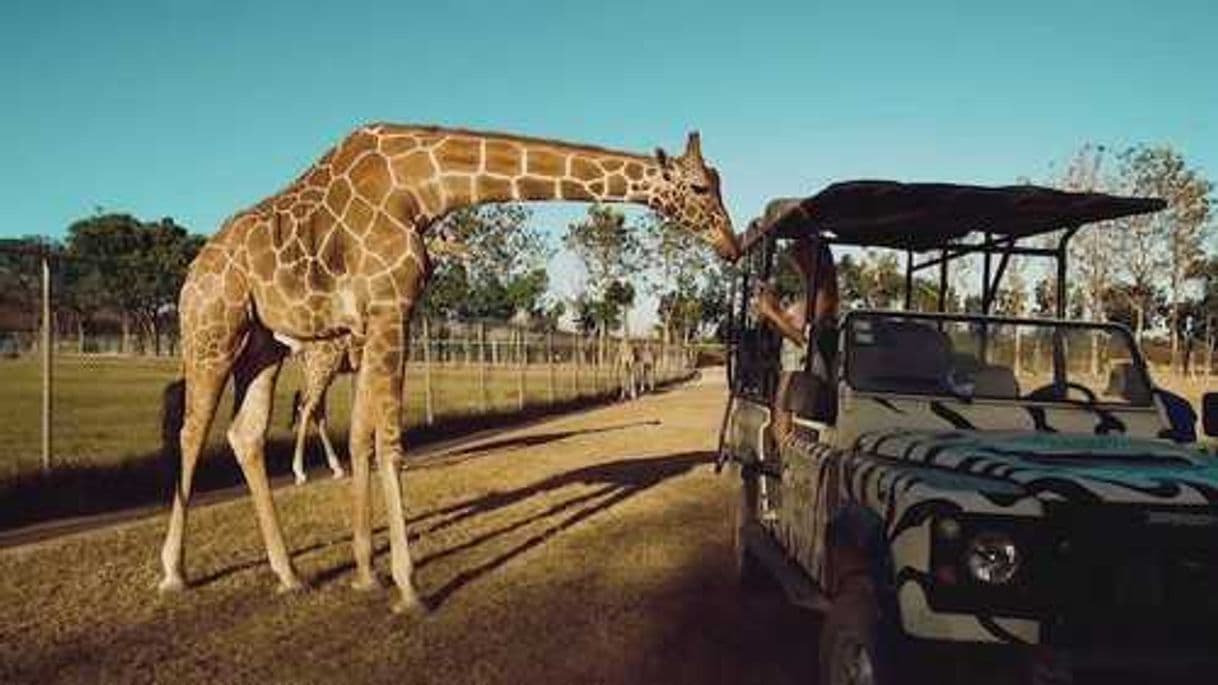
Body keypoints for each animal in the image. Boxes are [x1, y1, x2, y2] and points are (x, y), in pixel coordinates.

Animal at [157, 121, 735, 606]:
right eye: (700, 188)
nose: (731, 245)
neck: (421, 189)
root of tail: (192, 271)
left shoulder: (379, 319)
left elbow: (362, 435)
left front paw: (366, 571)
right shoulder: (389, 308)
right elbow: (389, 443)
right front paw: (408, 586)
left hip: (264, 347)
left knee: (245, 433)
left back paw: (289, 574)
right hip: (212, 334)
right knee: (192, 430)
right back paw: (174, 572)